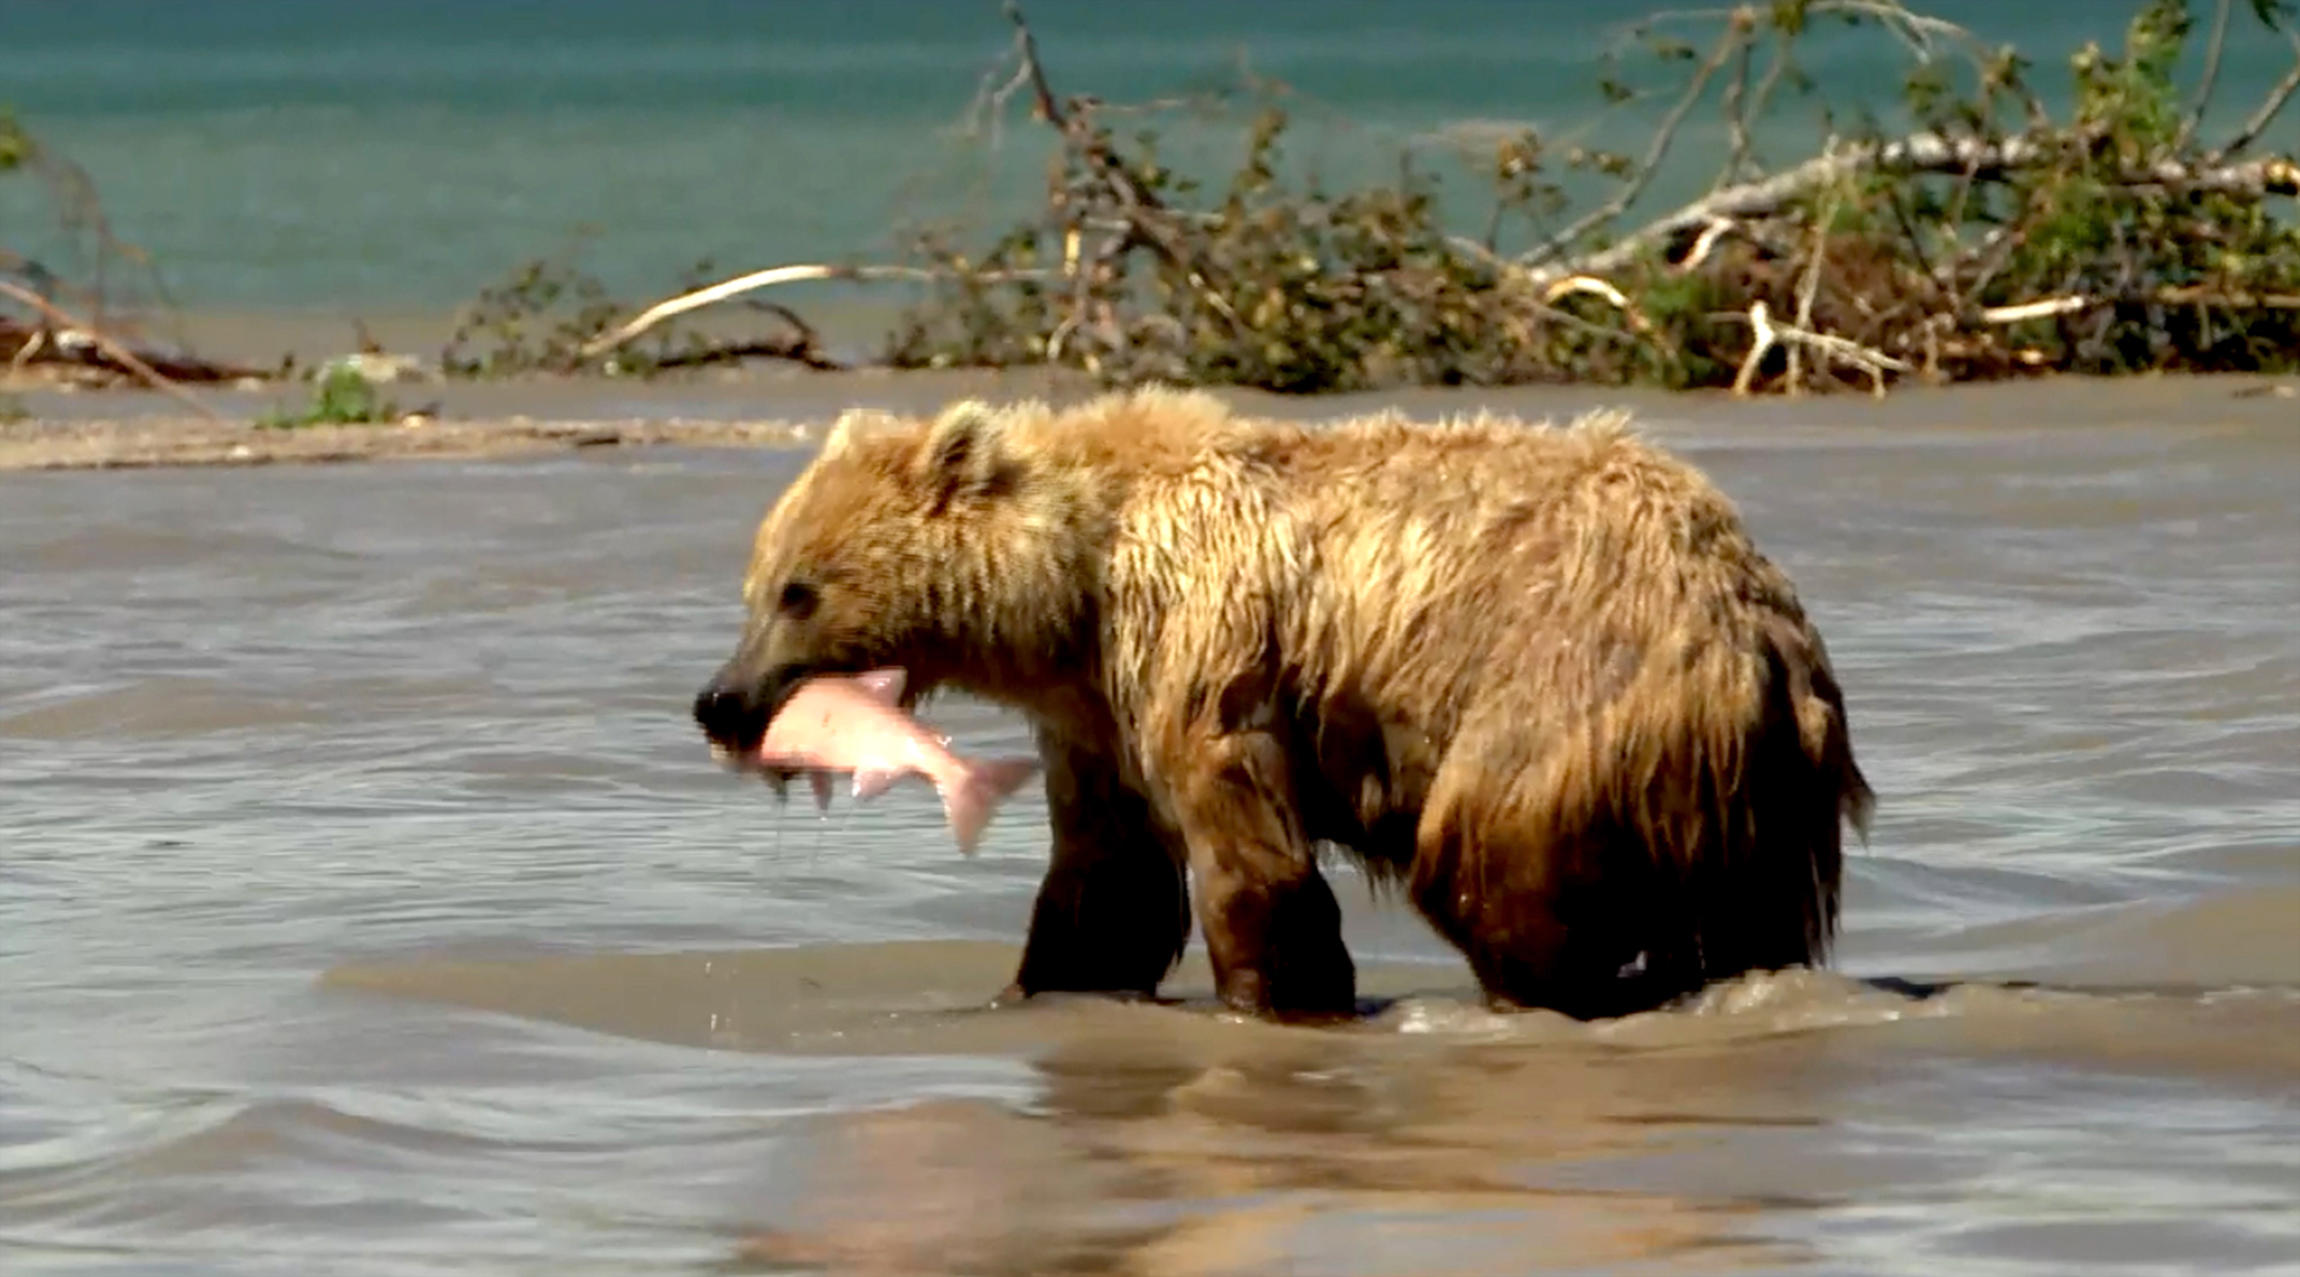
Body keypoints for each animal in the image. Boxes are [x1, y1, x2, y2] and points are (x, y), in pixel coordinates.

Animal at [690, 384, 1876, 1026]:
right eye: (758, 584)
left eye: (798, 589)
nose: (719, 699)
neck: (1076, 585)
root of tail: (1763, 628)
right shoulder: (1094, 712)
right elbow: (1105, 878)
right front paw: (1042, 985)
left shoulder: (1198, 626)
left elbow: (1242, 839)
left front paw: (1280, 995)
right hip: (1754, 788)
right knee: (1752, 917)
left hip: (1571, 685)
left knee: (1489, 855)